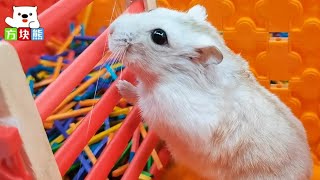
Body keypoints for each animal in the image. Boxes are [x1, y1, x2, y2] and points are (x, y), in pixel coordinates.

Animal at [108, 4, 312, 179]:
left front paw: (121, 87)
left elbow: (141, 97)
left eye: (159, 36)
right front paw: (122, 84)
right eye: (152, 10)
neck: (171, 75)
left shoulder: (165, 107)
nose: (110, 30)